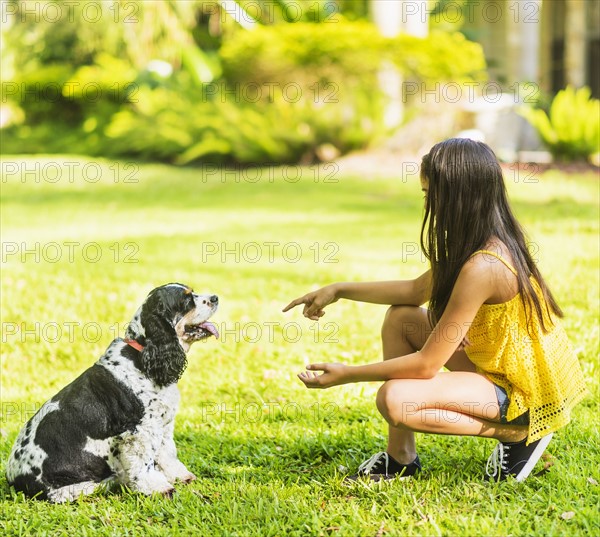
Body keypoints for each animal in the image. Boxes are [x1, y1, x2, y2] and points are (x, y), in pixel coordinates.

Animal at [6, 282, 218, 500]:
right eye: (187, 299)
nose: (215, 298)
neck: (143, 356)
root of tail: (14, 481)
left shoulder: (163, 425)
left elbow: (167, 454)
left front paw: (180, 476)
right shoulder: (139, 431)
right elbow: (144, 464)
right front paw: (159, 488)